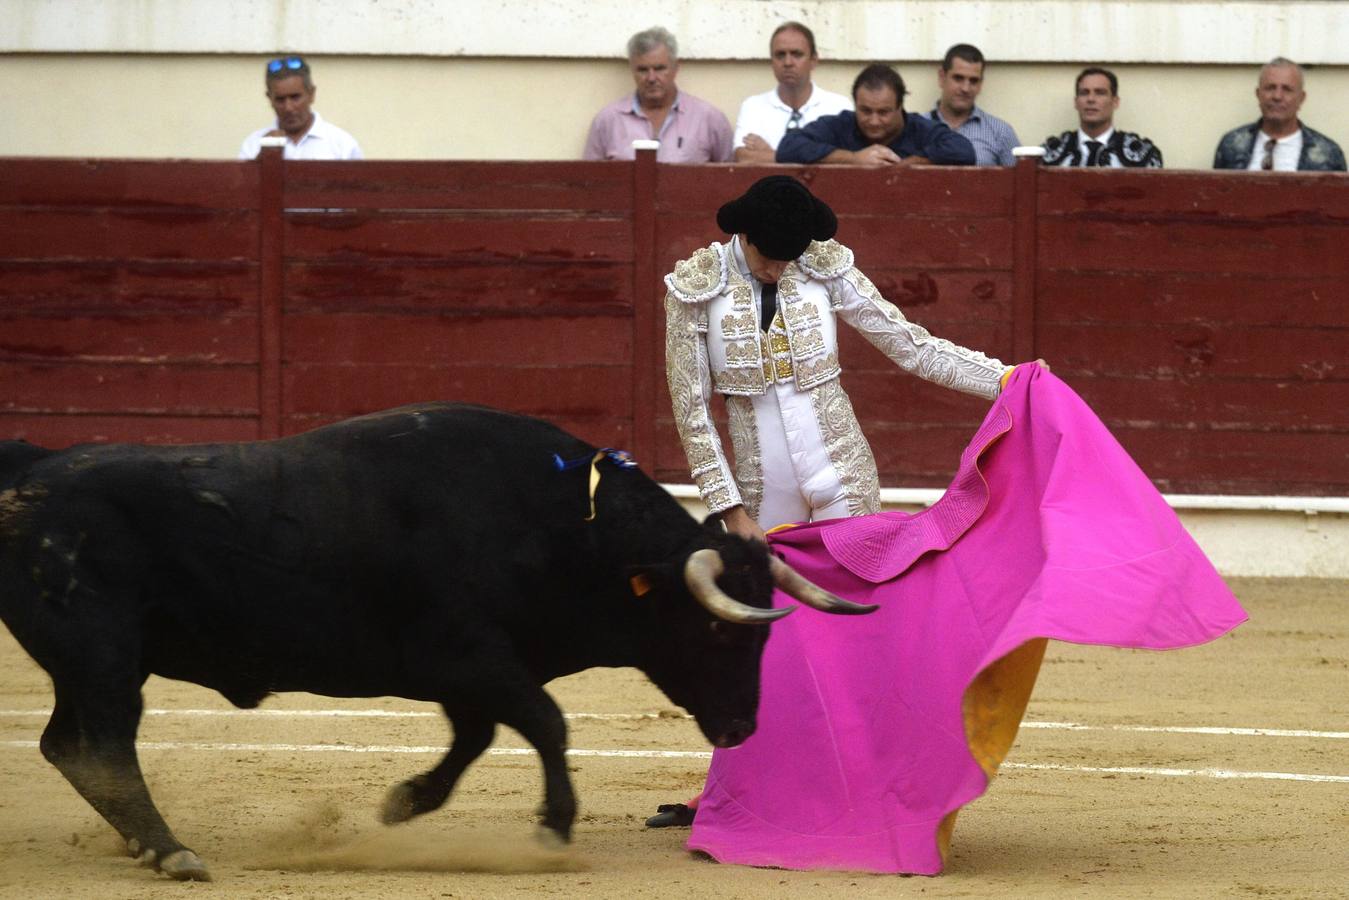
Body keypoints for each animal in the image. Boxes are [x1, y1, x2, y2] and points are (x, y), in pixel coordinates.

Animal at [0, 404, 874, 885]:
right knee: (102, 744)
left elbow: (479, 736)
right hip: (104, 655)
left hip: (89, 665)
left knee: (68, 745)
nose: (740, 729)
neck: (566, 523)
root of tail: (33, 472)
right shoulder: (466, 655)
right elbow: (545, 722)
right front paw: (552, 831)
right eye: (715, 627)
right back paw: (170, 851)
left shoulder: (468, 671)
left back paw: (143, 845)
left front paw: (404, 801)